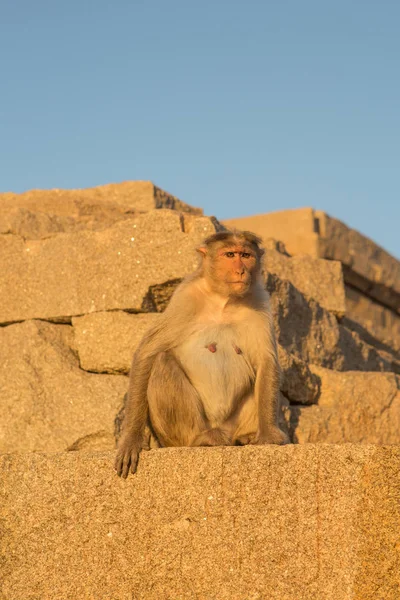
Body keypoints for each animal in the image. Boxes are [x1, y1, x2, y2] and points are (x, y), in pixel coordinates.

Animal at [114, 230, 290, 478]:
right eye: (230, 255)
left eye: (246, 255)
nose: (241, 270)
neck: (224, 300)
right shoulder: (185, 298)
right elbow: (147, 352)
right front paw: (132, 439)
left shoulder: (259, 299)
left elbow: (266, 363)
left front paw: (268, 435)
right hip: (174, 436)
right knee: (162, 361)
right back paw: (200, 439)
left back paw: (245, 437)